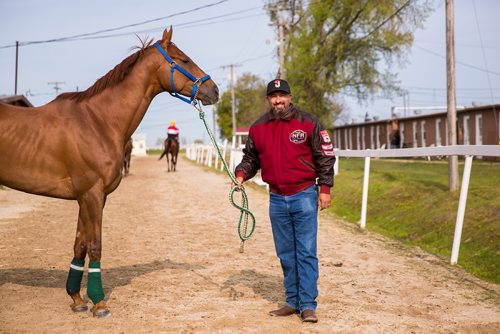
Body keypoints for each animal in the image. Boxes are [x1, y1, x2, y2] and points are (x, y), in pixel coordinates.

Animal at [0, 27, 219, 318]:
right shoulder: (92, 194)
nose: (214, 90)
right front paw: (100, 303)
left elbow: (80, 245)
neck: (98, 121)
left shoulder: (89, 197)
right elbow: (95, 246)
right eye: (184, 59)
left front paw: (77, 299)